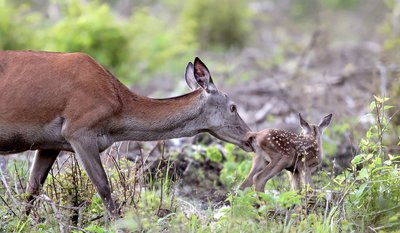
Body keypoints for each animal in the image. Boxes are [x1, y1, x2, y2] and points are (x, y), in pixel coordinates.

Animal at [0, 51, 252, 217]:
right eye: (233, 107)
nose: (250, 138)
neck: (117, 108)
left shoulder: (49, 144)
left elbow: (32, 190)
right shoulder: (78, 130)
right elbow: (103, 186)